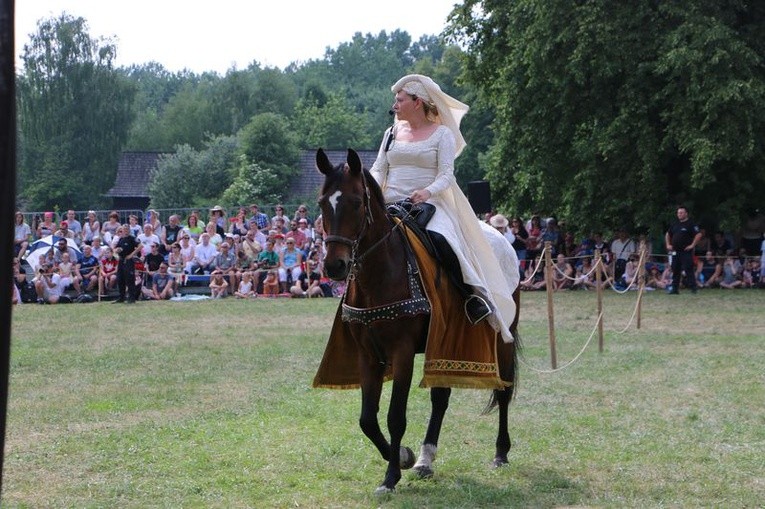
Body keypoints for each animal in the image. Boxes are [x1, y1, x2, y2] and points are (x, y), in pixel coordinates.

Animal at [312, 149, 520, 494]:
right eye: (321, 203)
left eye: (356, 202)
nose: (334, 265)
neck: (381, 273)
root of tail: (500, 238)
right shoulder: (368, 354)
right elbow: (367, 418)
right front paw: (405, 457)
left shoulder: (403, 351)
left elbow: (396, 416)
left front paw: (391, 476)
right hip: (447, 341)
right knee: (441, 397)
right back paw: (425, 459)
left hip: (502, 335)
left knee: (504, 389)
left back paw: (501, 453)